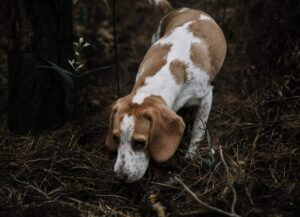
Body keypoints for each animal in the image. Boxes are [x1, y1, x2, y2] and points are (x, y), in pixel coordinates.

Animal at [105, 0, 225, 182]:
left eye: (139, 143)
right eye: (116, 138)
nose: (119, 177)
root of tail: (177, 10)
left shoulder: (206, 96)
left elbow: (198, 129)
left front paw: (191, 154)